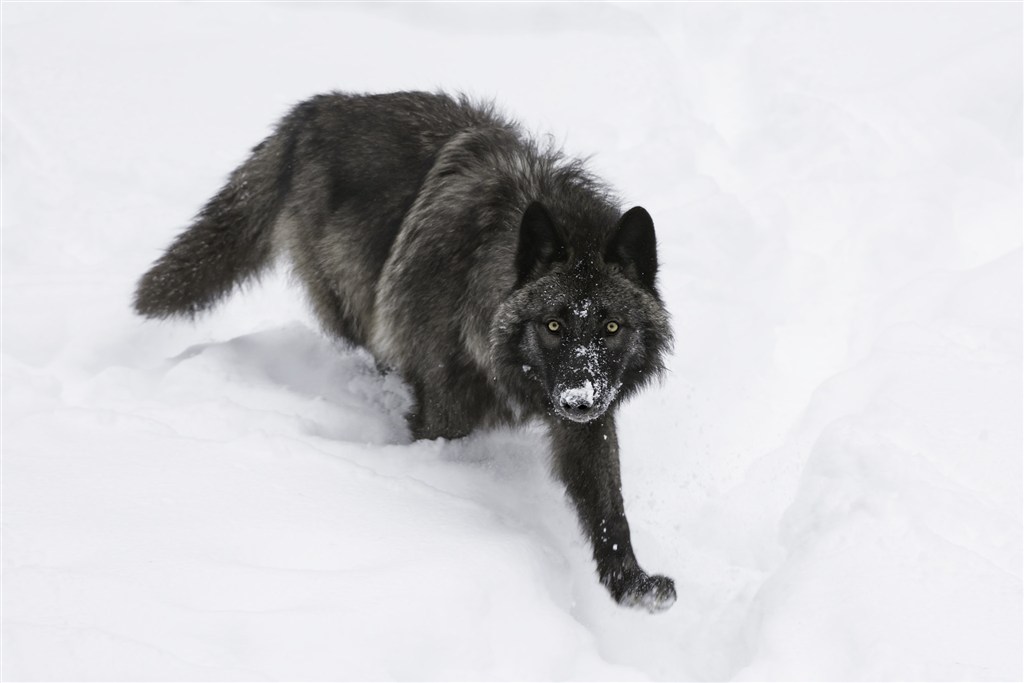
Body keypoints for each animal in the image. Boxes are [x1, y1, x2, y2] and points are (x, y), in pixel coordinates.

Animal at [138, 92, 679, 614]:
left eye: (610, 327)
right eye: (553, 325)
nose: (578, 400)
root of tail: (314, 108)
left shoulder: (587, 423)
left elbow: (609, 508)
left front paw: (629, 584)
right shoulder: (445, 420)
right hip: (359, 310)